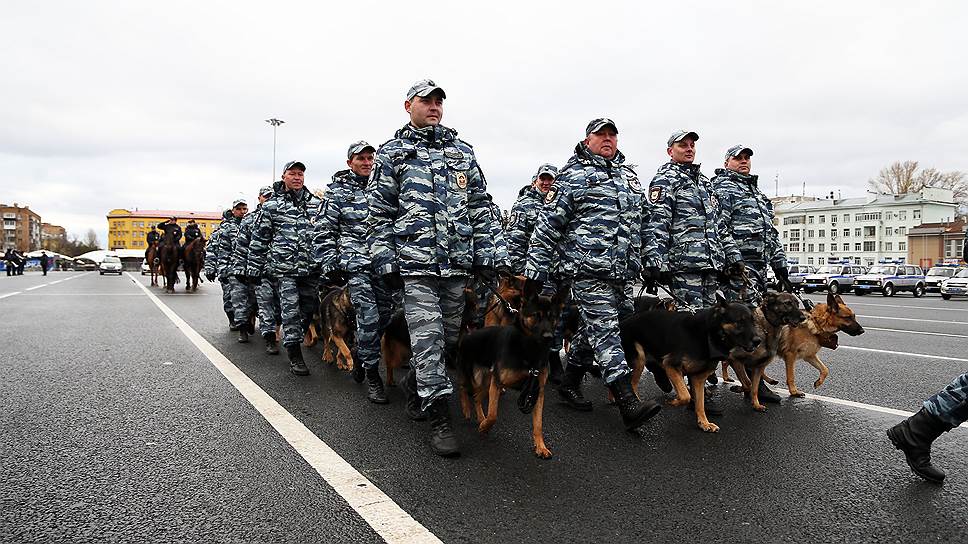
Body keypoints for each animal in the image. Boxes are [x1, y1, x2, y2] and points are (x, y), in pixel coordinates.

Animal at [460, 282, 572, 456]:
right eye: (536, 315)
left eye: (553, 317)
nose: (549, 338)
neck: (528, 350)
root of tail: (470, 334)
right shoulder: (497, 383)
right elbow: (493, 414)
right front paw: (485, 426)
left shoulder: (536, 391)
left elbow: (538, 424)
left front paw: (541, 446)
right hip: (475, 376)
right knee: (463, 388)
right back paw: (466, 408)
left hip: (486, 381)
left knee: (477, 398)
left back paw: (480, 417)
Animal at [620, 294, 764, 434]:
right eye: (740, 322)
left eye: (753, 322)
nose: (758, 341)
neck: (708, 334)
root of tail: (623, 322)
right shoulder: (671, 366)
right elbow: (685, 396)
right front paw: (673, 402)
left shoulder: (698, 378)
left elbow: (699, 403)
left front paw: (703, 423)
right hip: (639, 361)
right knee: (632, 384)